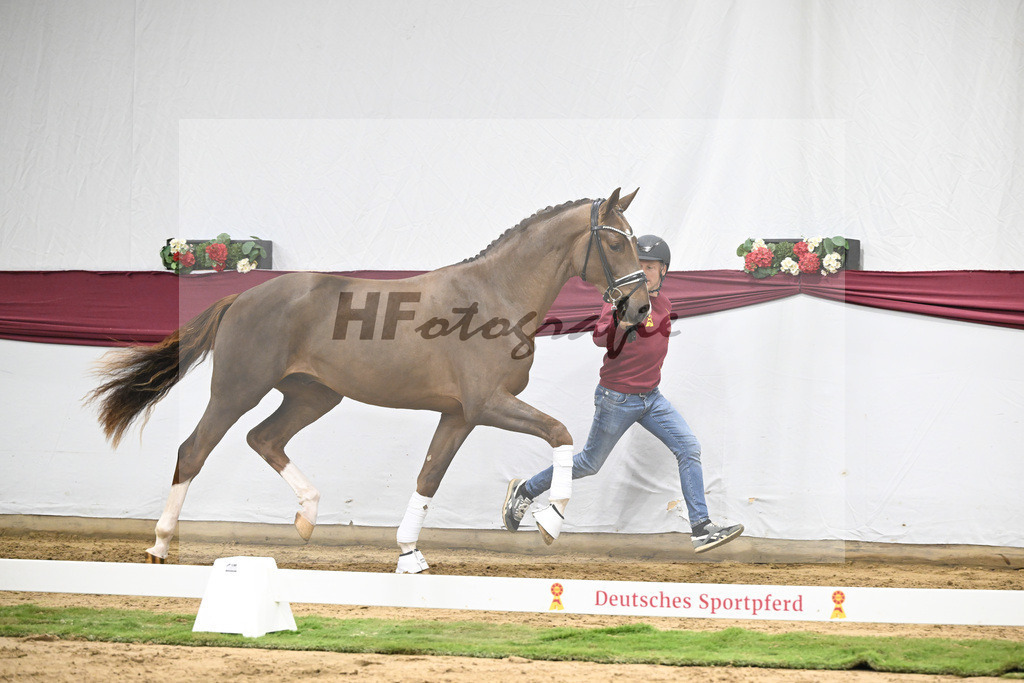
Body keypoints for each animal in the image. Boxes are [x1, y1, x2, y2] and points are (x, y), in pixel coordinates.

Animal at [88, 188, 650, 572]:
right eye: (615, 243)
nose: (641, 306)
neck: (496, 294)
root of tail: (240, 297)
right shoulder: (488, 403)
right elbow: (560, 432)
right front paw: (551, 519)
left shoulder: (459, 414)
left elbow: (428, 476)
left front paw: (408, 554)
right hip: (237, 391)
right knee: (195, 450)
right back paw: (161, 543)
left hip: (314, 396)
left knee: (263, 438)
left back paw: (308, 516)